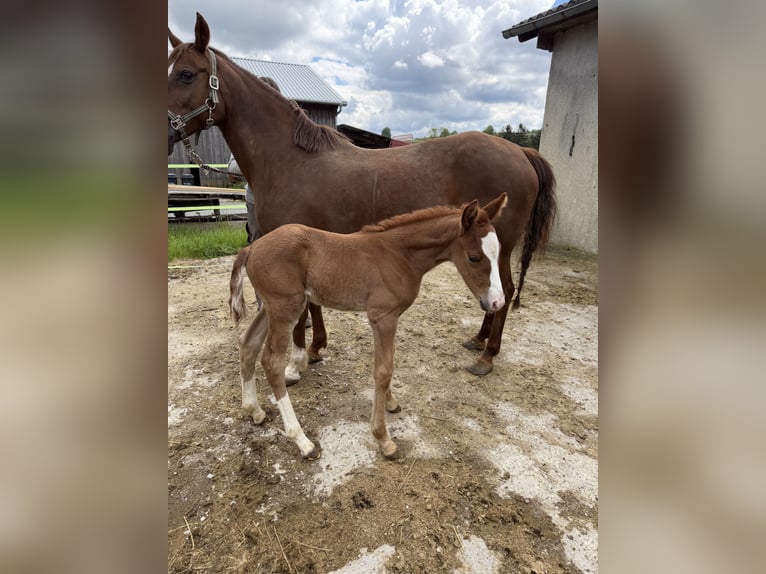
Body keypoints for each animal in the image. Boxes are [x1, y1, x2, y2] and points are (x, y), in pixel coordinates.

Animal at [169, 13, 556, 376]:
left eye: (186, 74)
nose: (165, 132)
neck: (291, 160)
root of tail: (522, 152)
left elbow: (305, 308)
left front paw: (297, 360)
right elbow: (314, 301)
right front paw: (315, 348)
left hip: (500, 244)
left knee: (505, 290)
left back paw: (488, 355)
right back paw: (478, 340)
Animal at [229, 195, 508, 459]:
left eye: (498, 253)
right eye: (474, 257)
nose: (497, 302)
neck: (399, 255)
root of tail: (250, 248)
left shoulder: (389, 318)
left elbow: (387, 362)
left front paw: (391, 403)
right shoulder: (383, 317)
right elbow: (383, 370)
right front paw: (383, 438)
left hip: (271, 307)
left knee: (248, 343)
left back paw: (254, 411)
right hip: (286, 308)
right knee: (272, 361)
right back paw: (302, 441)